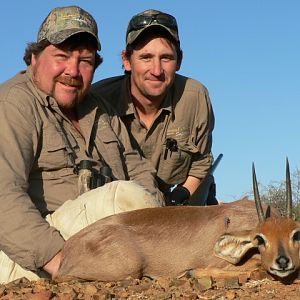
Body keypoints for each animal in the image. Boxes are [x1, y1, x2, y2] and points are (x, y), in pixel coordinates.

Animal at [54, 159, 300, 282]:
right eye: (260, 239)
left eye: (295, 234)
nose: (282, 262)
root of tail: (69, 247)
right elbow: (256, 268)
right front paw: (192, 272)